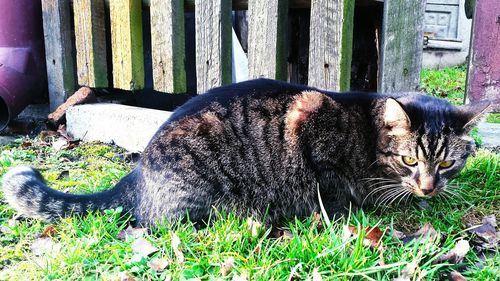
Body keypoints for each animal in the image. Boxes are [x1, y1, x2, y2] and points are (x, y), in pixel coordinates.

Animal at [1, 77, 490, 224]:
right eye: (410, 159)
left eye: (448, 162)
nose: (428, 187)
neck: (367, 136)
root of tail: (137, 175)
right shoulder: (309, 122)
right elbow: (329, 191)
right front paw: (347, 214)